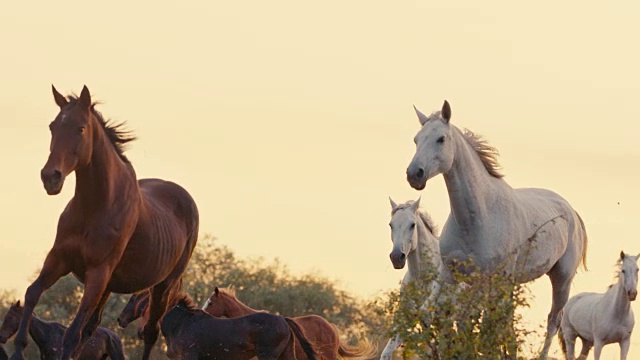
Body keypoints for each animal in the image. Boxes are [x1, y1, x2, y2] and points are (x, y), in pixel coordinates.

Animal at [11, 85, 198, 360]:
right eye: (52, 126)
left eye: (80, 128)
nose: (50, 177)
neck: (95, 207)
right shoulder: (58, 259)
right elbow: (32, 294)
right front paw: (18, 349)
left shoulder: (98, 273)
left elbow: (72, 331)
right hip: (111, 285)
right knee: (92, 326)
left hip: (162, 286)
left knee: (150, 332)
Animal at [408, 100, 588, 358]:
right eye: (416, 139)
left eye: (441, 139)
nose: (414, 174)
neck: (476, 217)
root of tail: (571, 211)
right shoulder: (451, 275)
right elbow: (449, 320)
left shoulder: (492, 280)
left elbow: (484, 327)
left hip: (562, 278)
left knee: (553, 321)